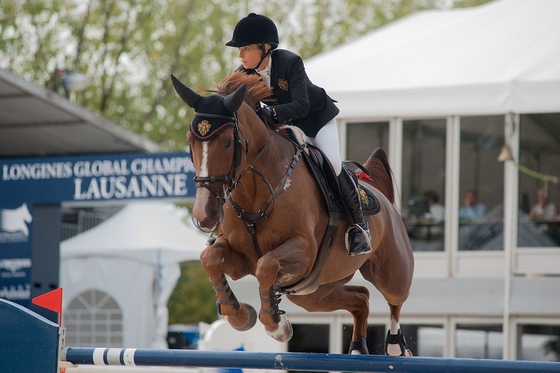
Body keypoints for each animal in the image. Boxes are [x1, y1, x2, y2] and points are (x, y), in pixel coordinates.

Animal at [173, 70, 414, 354]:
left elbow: (267, 265)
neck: (255, 192)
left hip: (391, 273)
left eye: (228, 142)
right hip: (314, 294)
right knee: (360, 298)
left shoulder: (304, 250)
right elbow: (210, 257)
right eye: (190, 142)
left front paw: (277, 327)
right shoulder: (239, 258)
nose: (204, 216)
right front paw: (241, 316)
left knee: (395, 300)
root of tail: (383, 198)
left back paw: (395, 345)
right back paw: (357, 347)